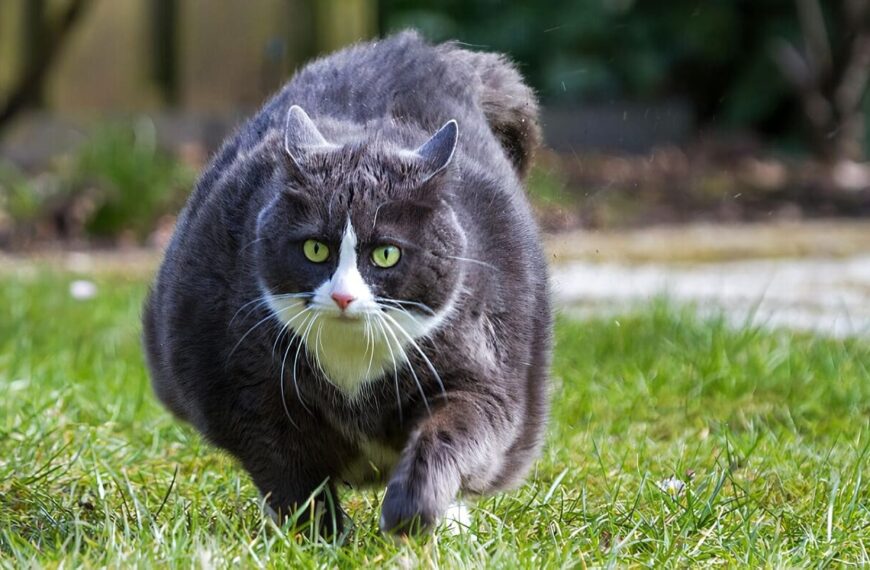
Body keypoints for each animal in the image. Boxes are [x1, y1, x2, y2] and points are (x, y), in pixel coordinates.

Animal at [142, 31, 552, 532]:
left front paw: (411, 511)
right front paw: (319, 535)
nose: (342, 295)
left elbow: (458, 429)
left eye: (387, 254)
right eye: (315, 249)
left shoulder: (482, 374)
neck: (354, 365)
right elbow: (287, 469)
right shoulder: (245, 388)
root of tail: (428, 52)